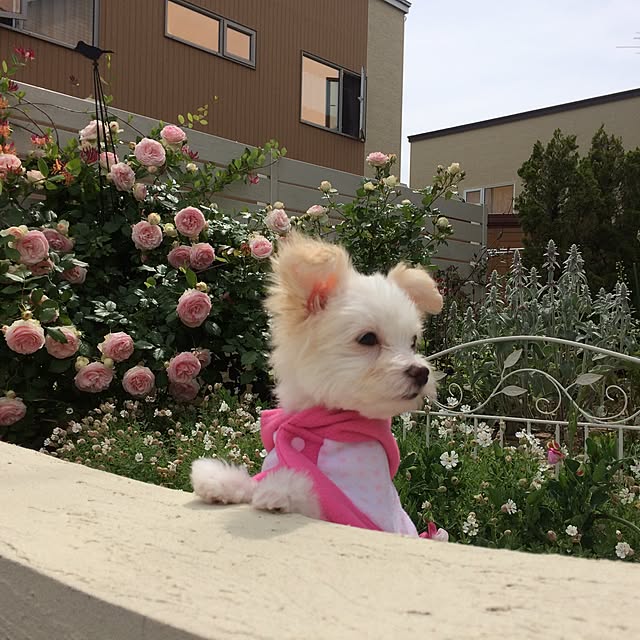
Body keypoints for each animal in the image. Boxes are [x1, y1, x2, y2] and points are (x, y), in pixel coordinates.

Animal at [191, 232, 443, 535]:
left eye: (413, 342)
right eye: (368, 338)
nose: (421, 372)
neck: (322, 421)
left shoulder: (362, 513)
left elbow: (310, 495)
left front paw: (280, 489)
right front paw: (221, 480)